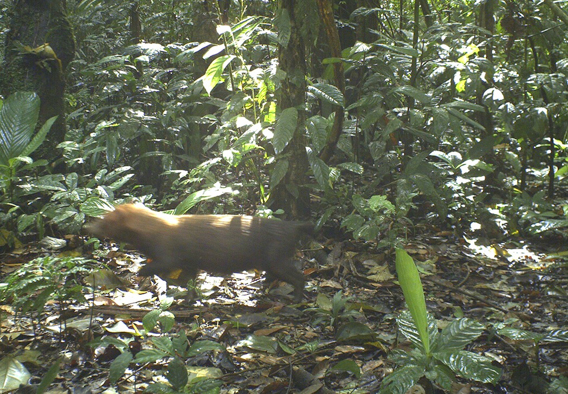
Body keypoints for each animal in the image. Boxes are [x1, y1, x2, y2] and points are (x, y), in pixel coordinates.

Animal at [86, 203, 312, 302]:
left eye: (106, 220)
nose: (87, 226)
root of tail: (292, 226)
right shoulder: (191, 262)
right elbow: (190, 280)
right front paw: (188, 298)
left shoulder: (169, 253)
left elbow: (161, 265)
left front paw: (139, 274)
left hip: (277, 258)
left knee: (299, 277)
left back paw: (296, 298)